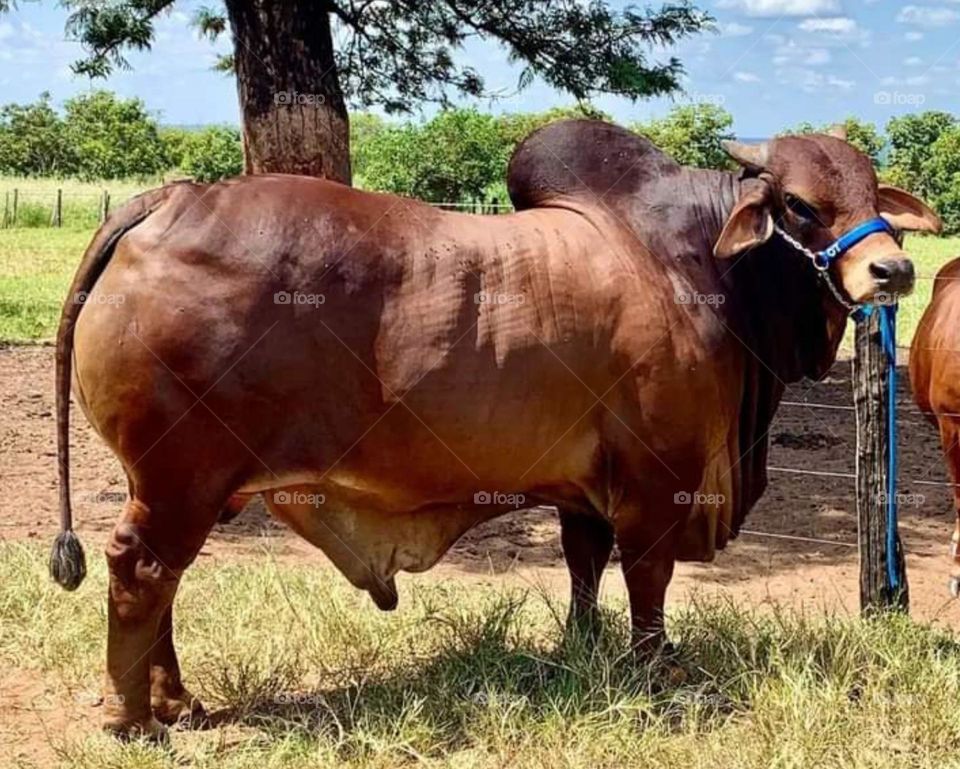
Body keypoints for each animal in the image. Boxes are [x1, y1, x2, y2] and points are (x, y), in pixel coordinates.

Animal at [49, 119, 940, 738]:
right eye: (800, 203)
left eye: (873, 196)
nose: (893, 270)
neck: (704, 267)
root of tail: (173, 197)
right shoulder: (659, 483)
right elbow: (647, 582)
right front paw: (656, 670)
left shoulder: (584, 489)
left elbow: (585, 567)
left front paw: (581, 649)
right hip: (181, 479)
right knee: (140, 570)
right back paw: (134, 717)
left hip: (179, 484)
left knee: (164, 579)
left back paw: (177, 700)